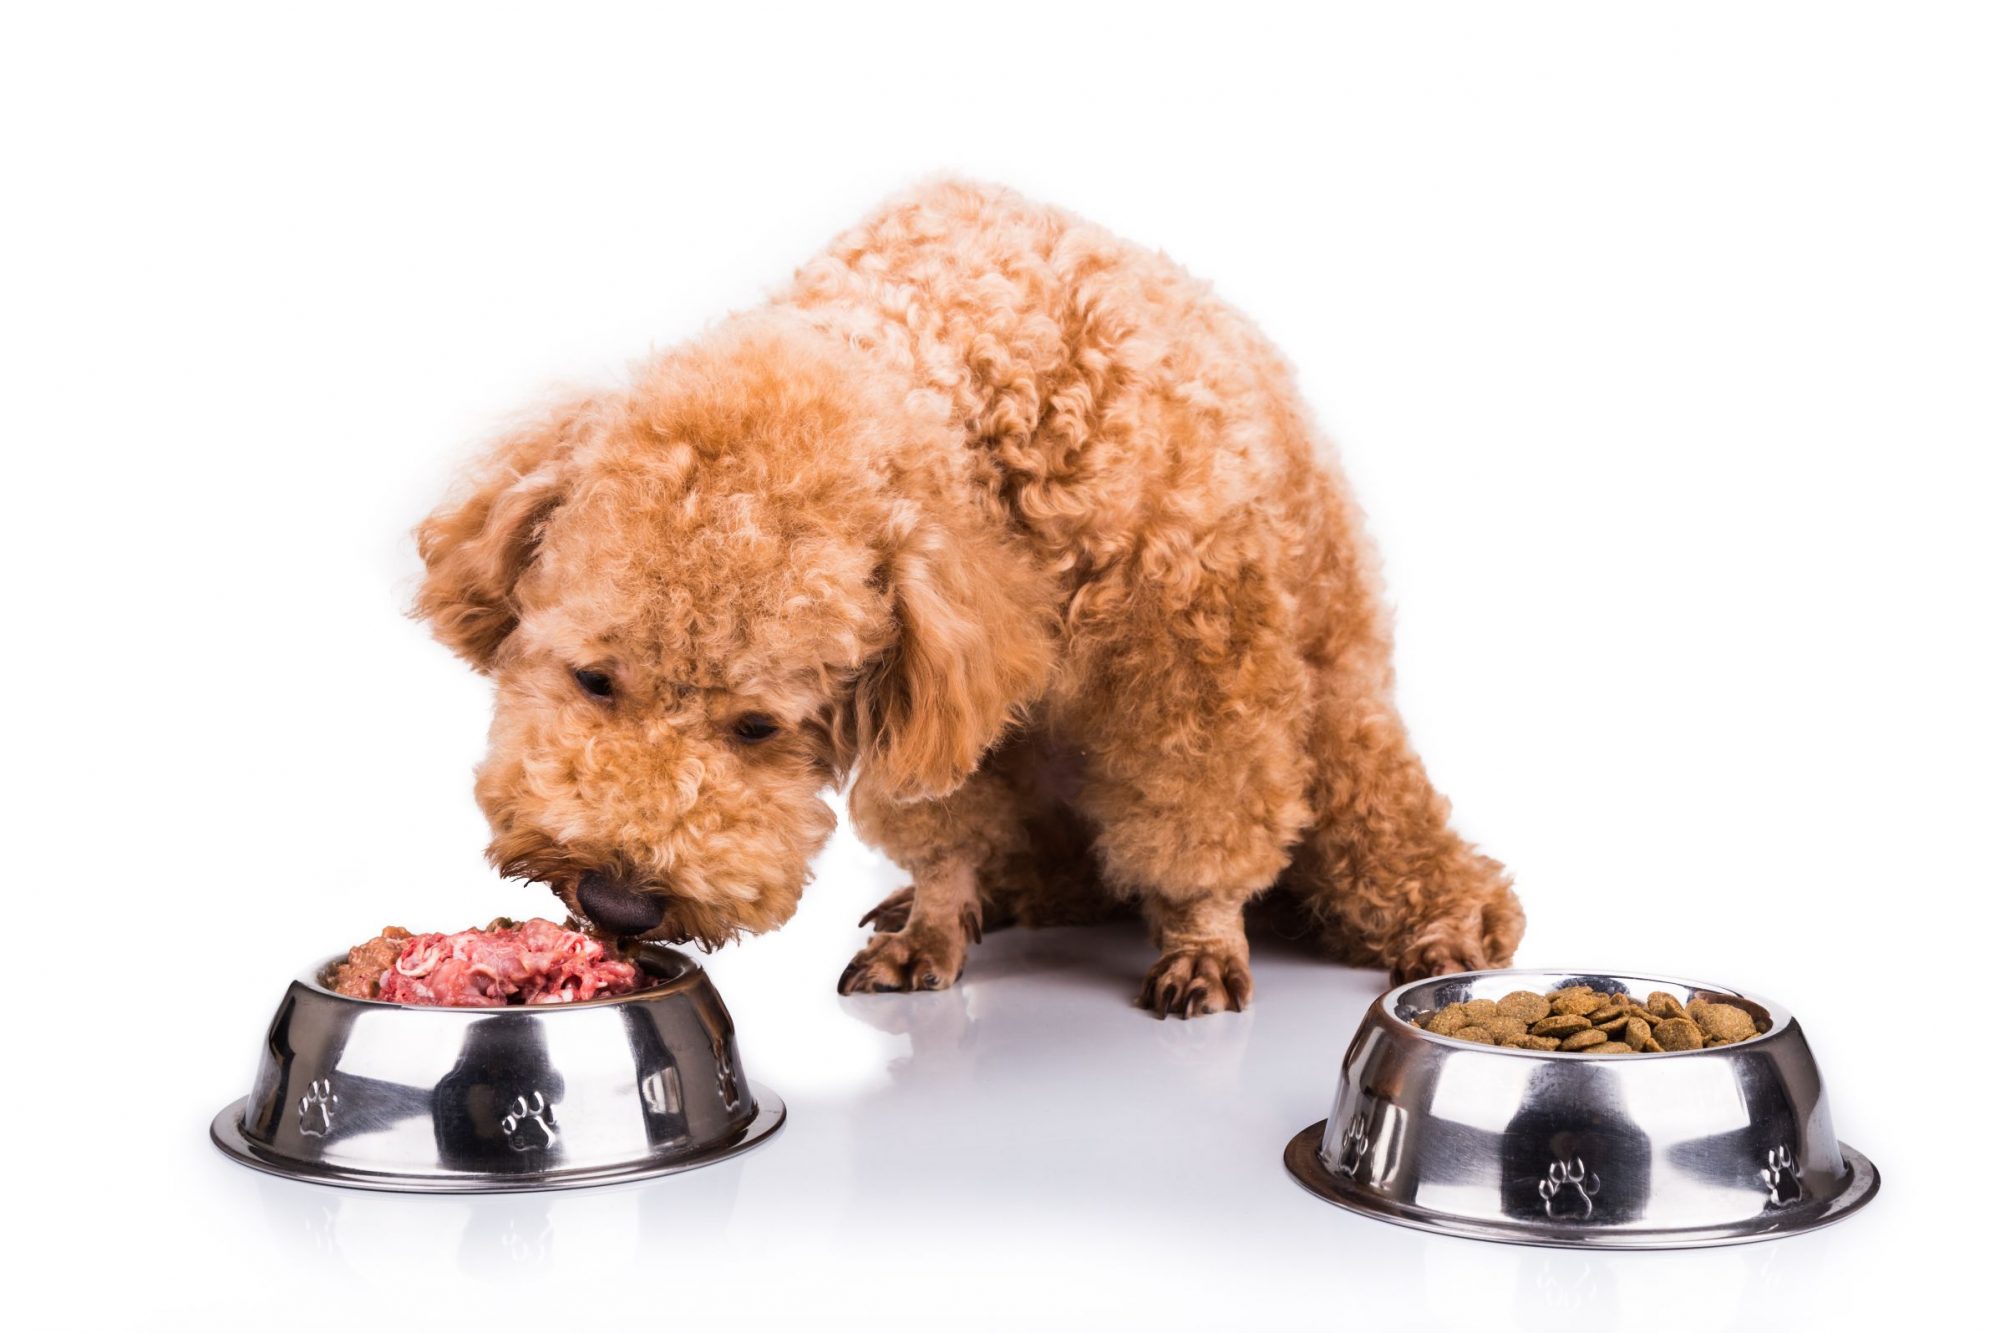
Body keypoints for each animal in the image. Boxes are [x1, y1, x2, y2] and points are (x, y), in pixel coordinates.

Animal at [414, 174, 1520, 1008]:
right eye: (594, 680)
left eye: (758, 727)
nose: (619, 902)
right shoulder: (940, 692)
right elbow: (944, 825)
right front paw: (935, 921)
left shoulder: (1194, 665)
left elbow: (1201, 819)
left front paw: (1204, 940)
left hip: (1342, 736)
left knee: (1391, 844)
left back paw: (1445, 921)